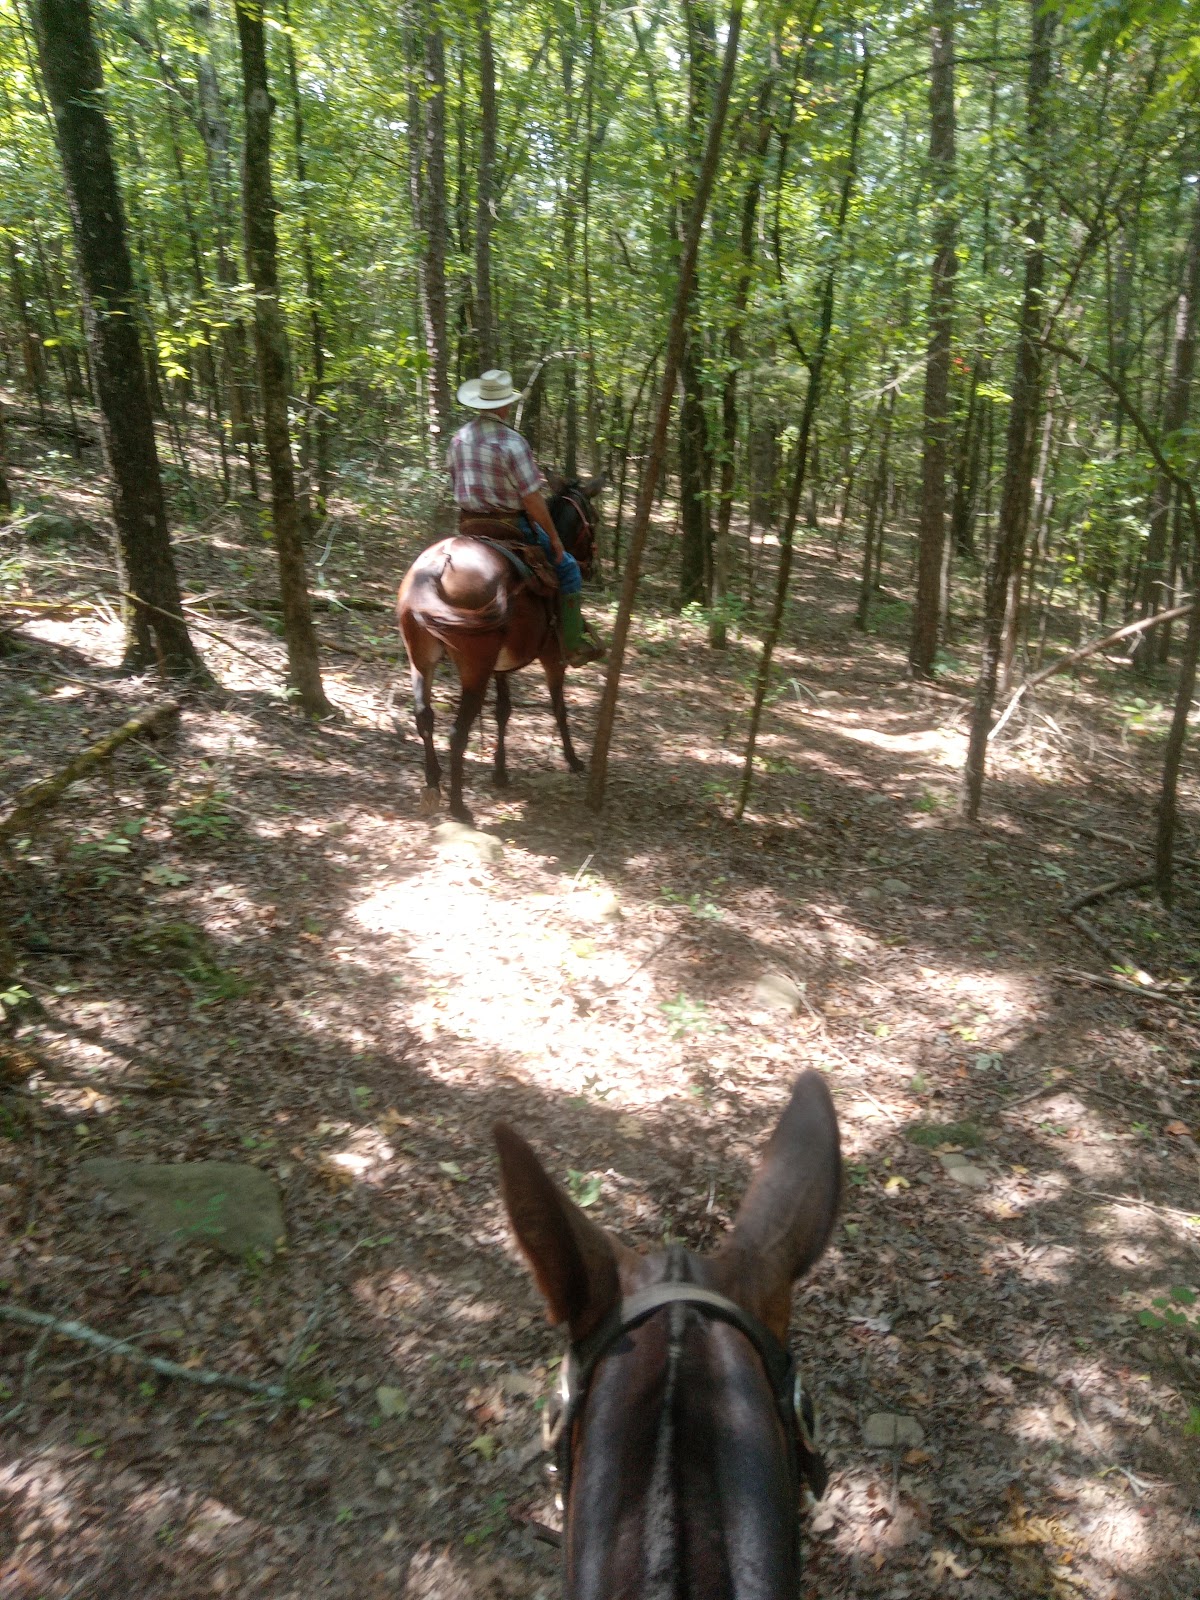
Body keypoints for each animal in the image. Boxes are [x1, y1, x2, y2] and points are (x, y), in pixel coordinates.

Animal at [396, 475, 602, 825]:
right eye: (595, 519)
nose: (590, 568)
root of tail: (437, 568)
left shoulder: (500, 666)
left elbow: (503, 710)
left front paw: (500, 771)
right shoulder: (552, 657)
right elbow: (559, 707)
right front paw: (573, 760)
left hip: (421, 660)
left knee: (424, 716)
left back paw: (433, 782)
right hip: (474, 669)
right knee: (457, 732)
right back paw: (459, 807)